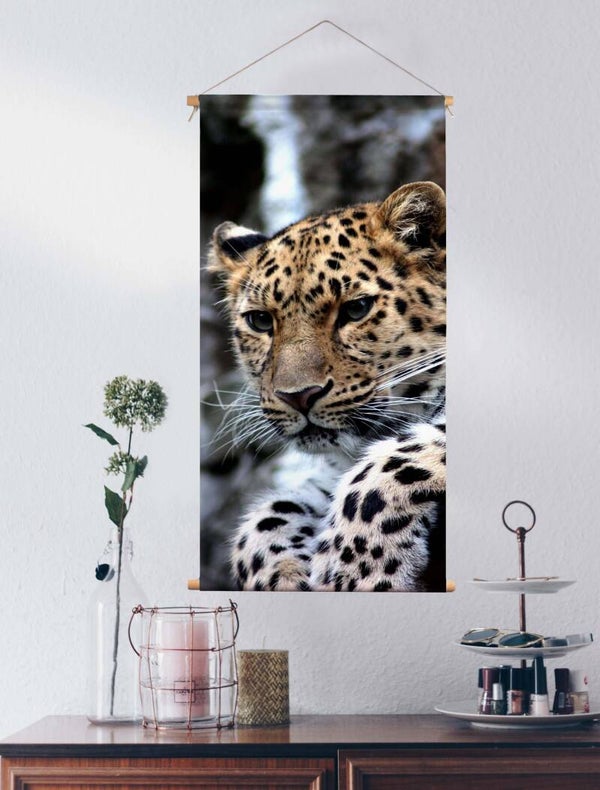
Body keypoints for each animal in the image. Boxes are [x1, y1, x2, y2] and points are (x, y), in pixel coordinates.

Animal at [208, 181, 446, 592]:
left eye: (356, 309)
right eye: (260, 321)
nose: (298, 396)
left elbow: (391, 462)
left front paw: (355, 569)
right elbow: (266, 517)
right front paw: (283, 574)